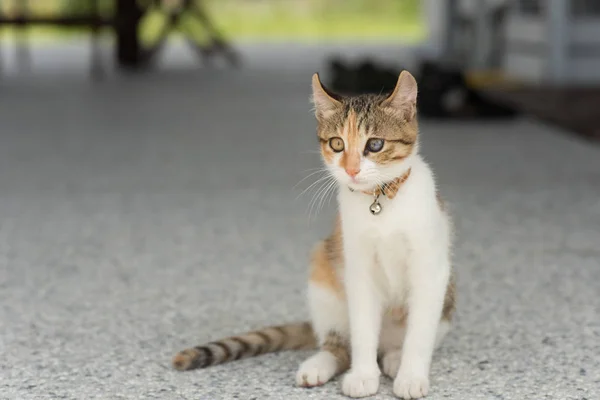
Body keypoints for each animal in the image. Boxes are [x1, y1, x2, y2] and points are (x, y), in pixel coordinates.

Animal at [171, 70, 458, 398]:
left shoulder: (430, 268)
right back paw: (320, 365)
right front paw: (363, 375)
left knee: (399, 342)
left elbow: (419, 333)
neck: (381, 203)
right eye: (337, 144)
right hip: (324, 268)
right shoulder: (357, 268)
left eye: (375, 145)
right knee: (339, 345)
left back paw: (395, 358)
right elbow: (362, 329)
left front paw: (411, 376)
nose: (351, 170)